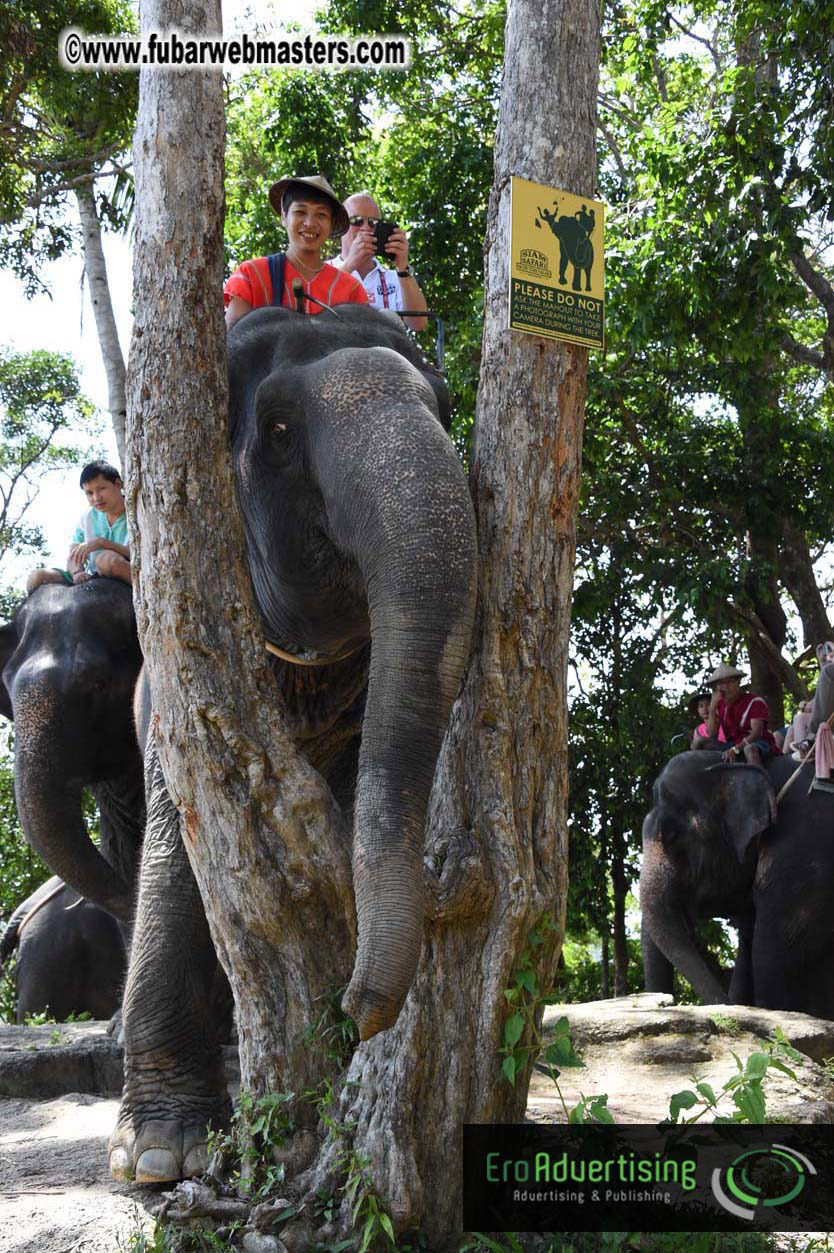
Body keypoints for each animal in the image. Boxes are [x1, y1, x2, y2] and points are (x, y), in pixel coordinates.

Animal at [108, 304, 477, 1184]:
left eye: (445, 407)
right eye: (277, 432)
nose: (356, 1007)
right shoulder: (176, 679)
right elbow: (177, 845)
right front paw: (162, 1153)